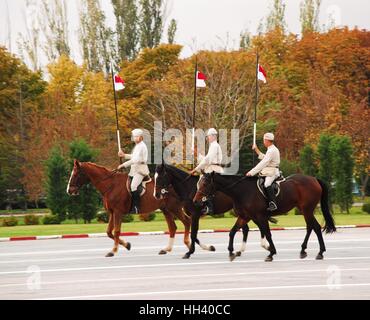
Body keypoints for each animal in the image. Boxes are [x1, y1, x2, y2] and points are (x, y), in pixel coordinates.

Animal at [66, 160, 211, 258]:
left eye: (76, 174)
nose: (69, 190)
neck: (110, 184)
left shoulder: (118, 212)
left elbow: (116, 231)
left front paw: (113, 251)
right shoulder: (112, 213)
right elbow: (109, 232)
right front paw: (126, 245)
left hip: (174, 208)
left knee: (186, 222)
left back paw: (190, 245)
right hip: (166, 209)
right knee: (173, 227)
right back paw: (171, 248)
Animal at [194, 174, 336, 262]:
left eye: (205, 183)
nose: (196, 201)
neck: (242, 191)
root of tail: (314, 179)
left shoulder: (260, 216)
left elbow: (267, 233)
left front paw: (271, 252)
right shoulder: (245, 217)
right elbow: (232, 232)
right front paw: (231, 252)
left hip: (307, 209)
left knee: (315, 227)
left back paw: (320, 252)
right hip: (304, 210)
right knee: (311, 227)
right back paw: (304, 250)